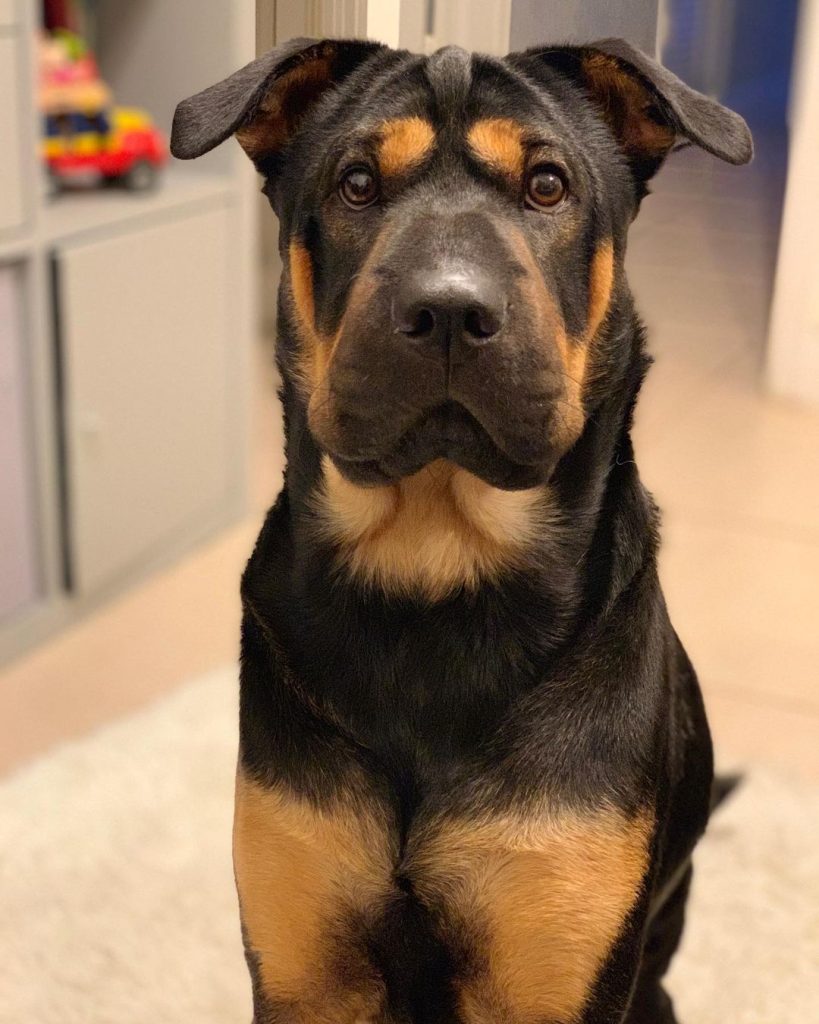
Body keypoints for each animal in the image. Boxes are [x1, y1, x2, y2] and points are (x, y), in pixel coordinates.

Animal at [174, 36, 753, 1024]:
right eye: (356, 184)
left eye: (547, 186)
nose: (447, 310)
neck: (436, 573)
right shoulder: (300, 966)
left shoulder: (557, 966)